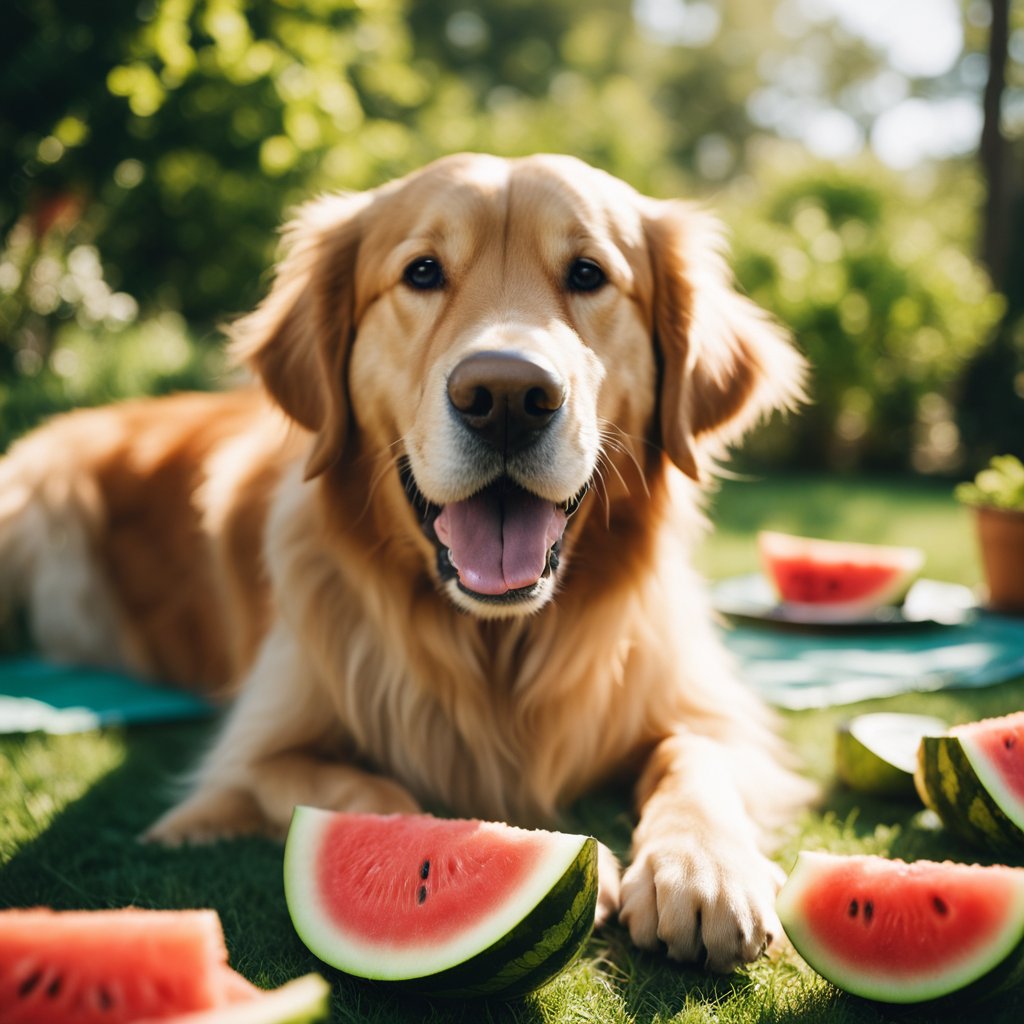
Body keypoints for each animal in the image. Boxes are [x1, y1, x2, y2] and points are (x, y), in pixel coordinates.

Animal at [2, 155, 815, 970]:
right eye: (422, 271)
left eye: (588, 274)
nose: (506, 397)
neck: (493, 645)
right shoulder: (254, 758)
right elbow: (371, 793)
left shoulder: (706, 707)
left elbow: (694, 758)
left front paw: (704, 866)